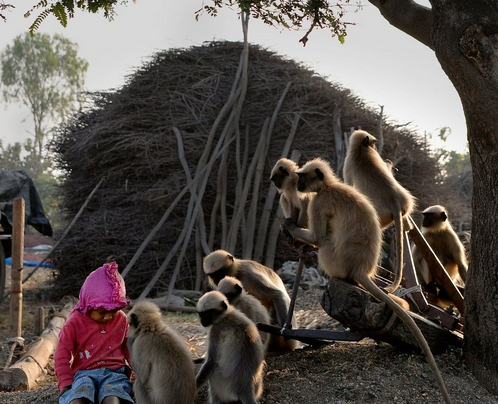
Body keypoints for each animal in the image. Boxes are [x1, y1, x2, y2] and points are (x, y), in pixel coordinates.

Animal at [282, 157, 454, 404]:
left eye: (302, 177)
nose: (299, 184)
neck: (329, 186)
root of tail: (361, 269)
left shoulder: (319, 202)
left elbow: (317, 237)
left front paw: (290, 227)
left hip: (334, 260)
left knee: (324, 244)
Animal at [342, 131, 416, 292]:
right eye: (374, 144)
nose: (375, 146)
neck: (361, 150)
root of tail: (394, 201)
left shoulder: (348, 162)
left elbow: (348, 183)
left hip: (382, 215)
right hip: (406, 202)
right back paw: (407, 227)